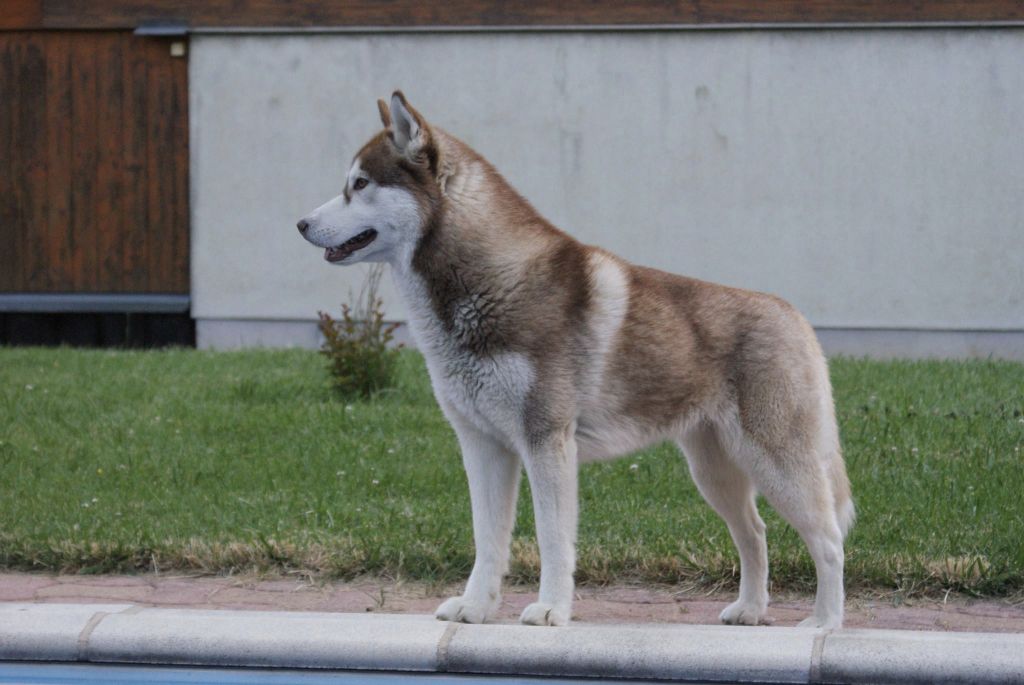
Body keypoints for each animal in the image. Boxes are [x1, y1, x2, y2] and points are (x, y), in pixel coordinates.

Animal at [299, 92, 856, 630]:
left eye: (359, 184)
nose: (301, 222)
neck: (486, 285)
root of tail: (795, 316)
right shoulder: (482, 446)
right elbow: (488, 539)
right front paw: (475, 608)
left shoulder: (546, 441)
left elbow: (552, 539)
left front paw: (550, 611)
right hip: (714, 471)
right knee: (755, 533)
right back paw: (751, 610)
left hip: (777, 464)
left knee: (829, 540)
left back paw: (824, 622)